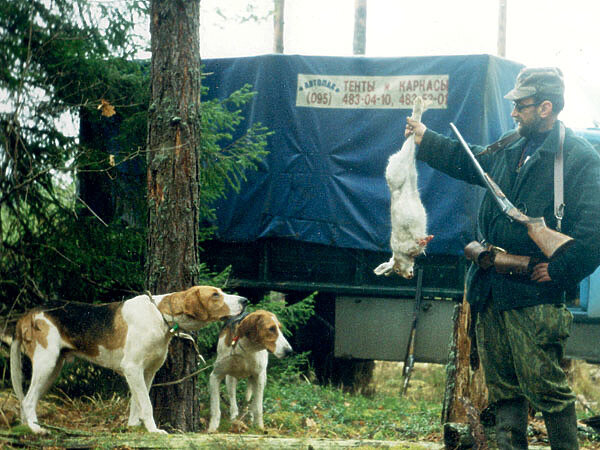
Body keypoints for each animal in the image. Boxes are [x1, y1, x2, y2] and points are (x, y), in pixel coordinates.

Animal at [10, 286, 247, 434]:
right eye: (215, 295)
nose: (245, 300)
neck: (160, 315)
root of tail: (28, 314)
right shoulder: (132, 369)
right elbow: (147, 405)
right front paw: (154, 430)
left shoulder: (146, 372)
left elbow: (137, 403)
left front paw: (133, 428)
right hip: (46, 364)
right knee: (27, 400)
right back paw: (36, 429)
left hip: (52, 370)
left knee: (28, 401)